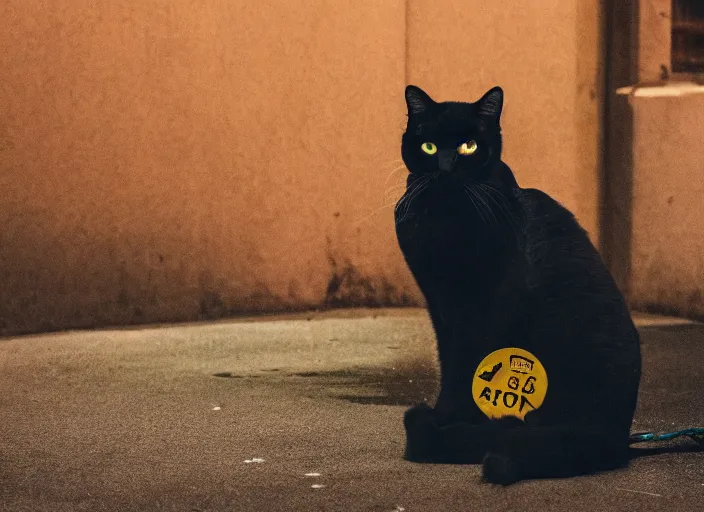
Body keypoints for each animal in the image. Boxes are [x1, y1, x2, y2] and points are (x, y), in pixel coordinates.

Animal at [396, 86, 644, 486]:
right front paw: (446, 414)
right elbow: (450, 362)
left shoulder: (490, 303)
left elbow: (467, 362)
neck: (444, 219)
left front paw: (456, 420)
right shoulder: (440, 306)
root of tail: (616, 439)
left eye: (468, 146)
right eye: (429, 147)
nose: (446, 167)